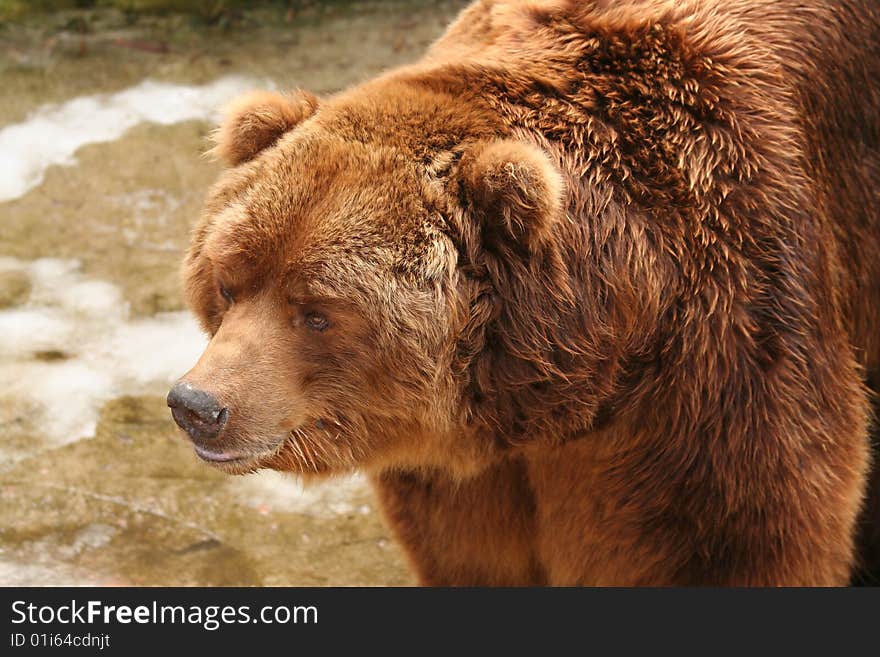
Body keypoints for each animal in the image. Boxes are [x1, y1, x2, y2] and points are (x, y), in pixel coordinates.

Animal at [168, 0, 880, 584]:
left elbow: (734, 542)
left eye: (317, 312)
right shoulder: (467, 480)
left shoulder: (718, 376)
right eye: (229, 282)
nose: (198, 404)